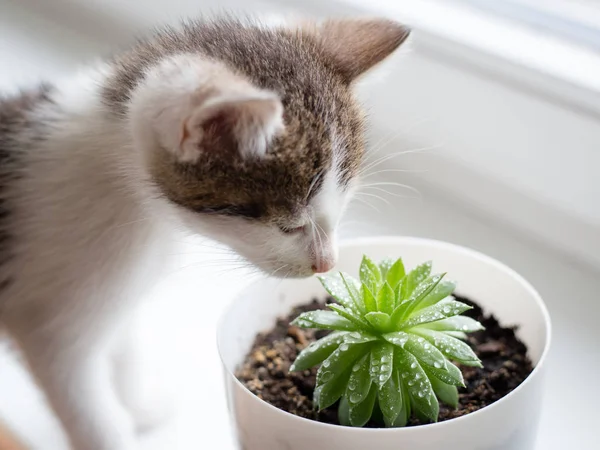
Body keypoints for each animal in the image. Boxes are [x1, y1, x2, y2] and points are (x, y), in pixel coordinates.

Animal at [0, 15, 408, 450]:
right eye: (290, 224)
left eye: (342, 207)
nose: (327, 263)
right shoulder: (54, 330)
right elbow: (91, 412)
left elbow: (123, 341)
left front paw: (139, 404)